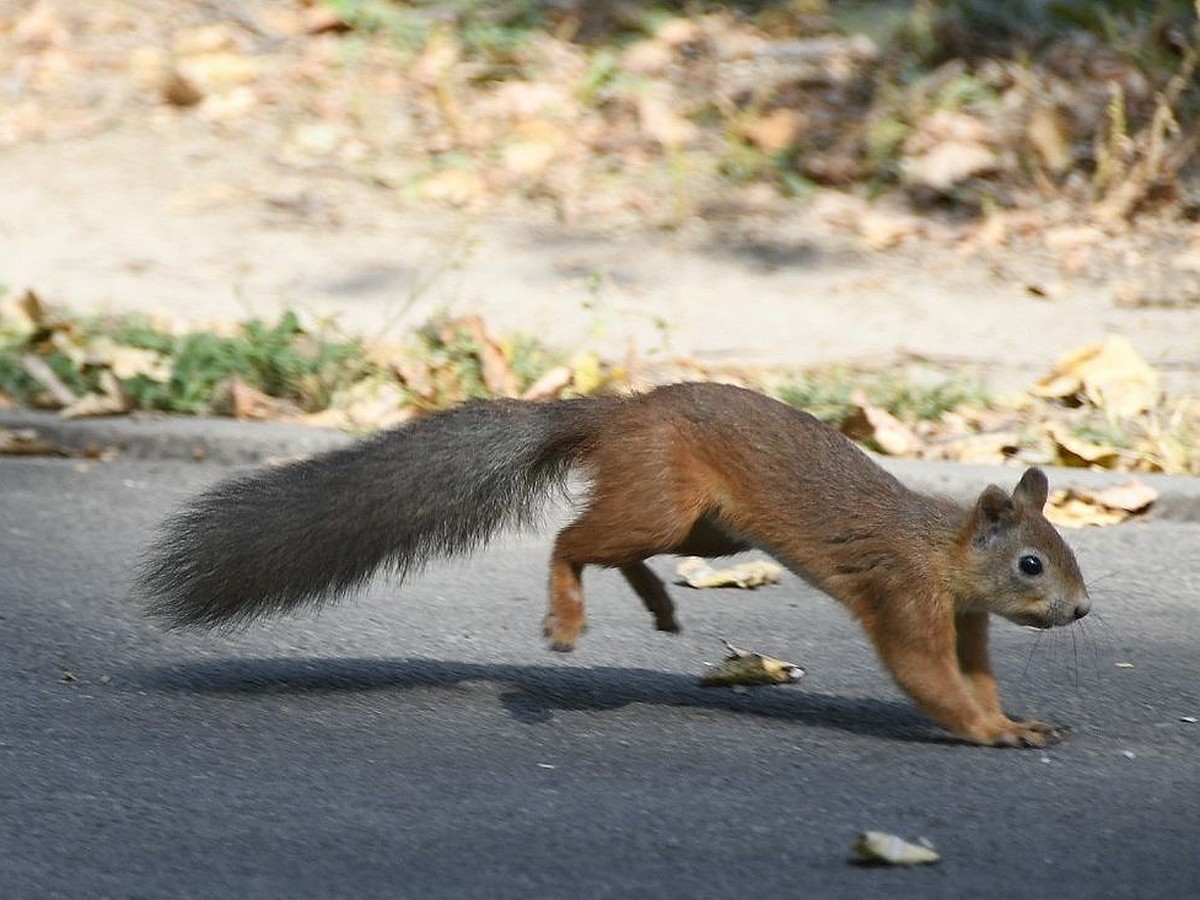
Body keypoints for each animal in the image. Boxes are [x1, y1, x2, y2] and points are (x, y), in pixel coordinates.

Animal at [138, 381, 1089, 748]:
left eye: (1063, 558)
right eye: (1032, 565)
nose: (1081, 613)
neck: (943, 547)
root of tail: (614, 412)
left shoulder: (964, 617)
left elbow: (974, 674)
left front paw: (1015, 719)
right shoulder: (903, 594)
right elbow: (928, 676)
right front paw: (992, 733)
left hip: (707, 531)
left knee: (618, 548)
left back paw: (654, 601)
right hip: (669, 496)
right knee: (570, 541)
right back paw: (568, 615)